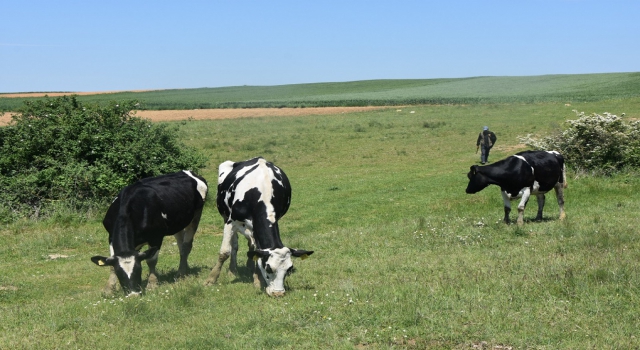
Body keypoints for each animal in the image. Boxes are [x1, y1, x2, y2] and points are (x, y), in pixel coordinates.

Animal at [204, 157, 314, 296]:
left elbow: (258, 251)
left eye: (289, 270)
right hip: (225, 216)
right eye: (268, 268)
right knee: (234, 244)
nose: (278, 293)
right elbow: (224, 252)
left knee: (251, 245)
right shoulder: (231, 221)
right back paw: (232, 270)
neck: (261, 192)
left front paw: (257, 279)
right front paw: (211, 279)